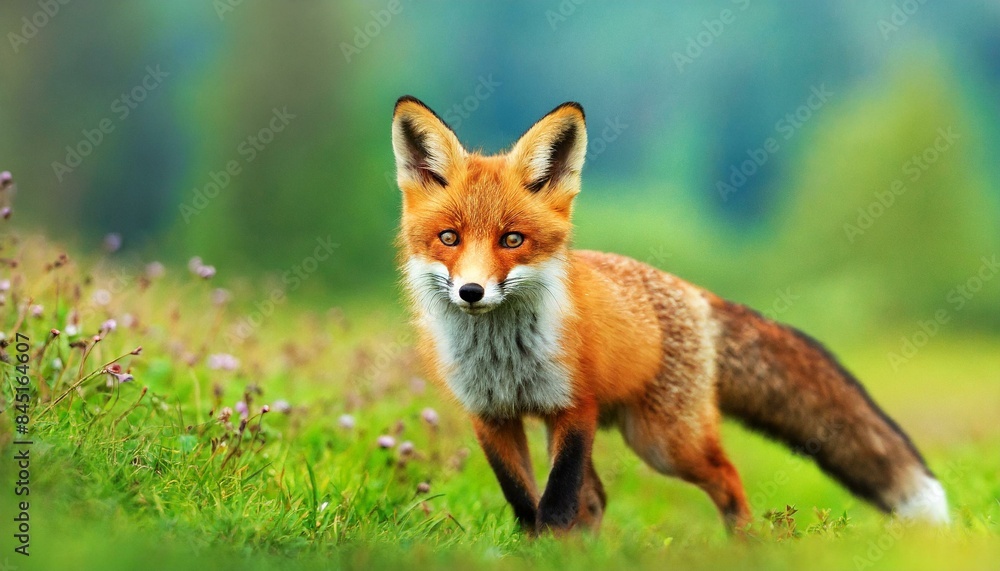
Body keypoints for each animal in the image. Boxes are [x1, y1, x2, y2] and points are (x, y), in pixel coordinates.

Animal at [391, 95, 950, 534]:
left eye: (512, 240)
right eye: (449, 238)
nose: (471, 291)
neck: (504, 358)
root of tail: (696, 292)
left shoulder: (574, 408)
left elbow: (557, 504)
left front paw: (552, 550)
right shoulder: (491, 417)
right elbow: (526, 504)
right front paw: (542, 553)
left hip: (664, 442)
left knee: (726, 479)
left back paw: (747, 548)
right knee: (598, 500)